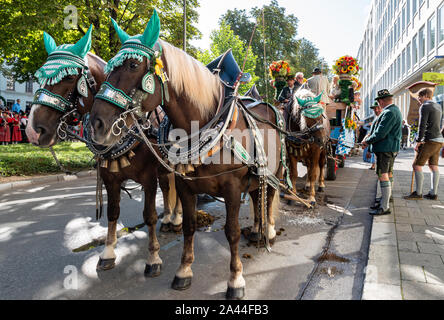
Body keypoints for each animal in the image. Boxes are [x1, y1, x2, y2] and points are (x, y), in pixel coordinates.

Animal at [25, 38, 181, 278]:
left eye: (69, 77)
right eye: (40, 77)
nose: (33, 131)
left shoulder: (148, 178)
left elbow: (149, 215)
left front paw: (153, 258)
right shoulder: (110, 178)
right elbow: (112, 213)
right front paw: (108, 253)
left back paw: (177, 218)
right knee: (167, 187)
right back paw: (168, 219)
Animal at [90, 13, 282, 298]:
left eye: (134, 64)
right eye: (108, 69)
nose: (97, 123)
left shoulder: (232, 186)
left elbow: (232, 232)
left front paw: (235, 279)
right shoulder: (184, 185)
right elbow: (190, 227)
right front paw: (184, 271)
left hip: (273, 172)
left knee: (268, 200)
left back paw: (267, 232)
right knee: (258, 196)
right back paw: (257, 232)